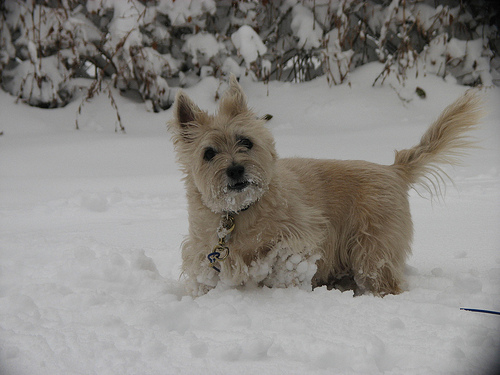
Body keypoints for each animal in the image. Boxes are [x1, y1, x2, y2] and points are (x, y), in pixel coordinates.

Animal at [168, 76, 480, 298]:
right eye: (209, 153)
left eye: (246, 141)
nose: (235, 169)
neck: (237, 212)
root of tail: (393, 170)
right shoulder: (205, 252)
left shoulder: (302, 236)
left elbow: (285, 261)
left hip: (372, 248)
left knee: (384, 278)